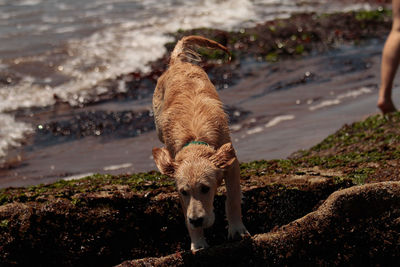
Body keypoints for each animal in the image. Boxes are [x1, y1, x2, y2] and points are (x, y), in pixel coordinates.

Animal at [152, 35, 248, 251]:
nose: (197, 220)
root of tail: (177, 63)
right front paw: (198, 242)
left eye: (205, 188)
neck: (195, 141)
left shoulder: (231, 162)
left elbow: (232, 199)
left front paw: (236, 229)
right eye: (184, 191)